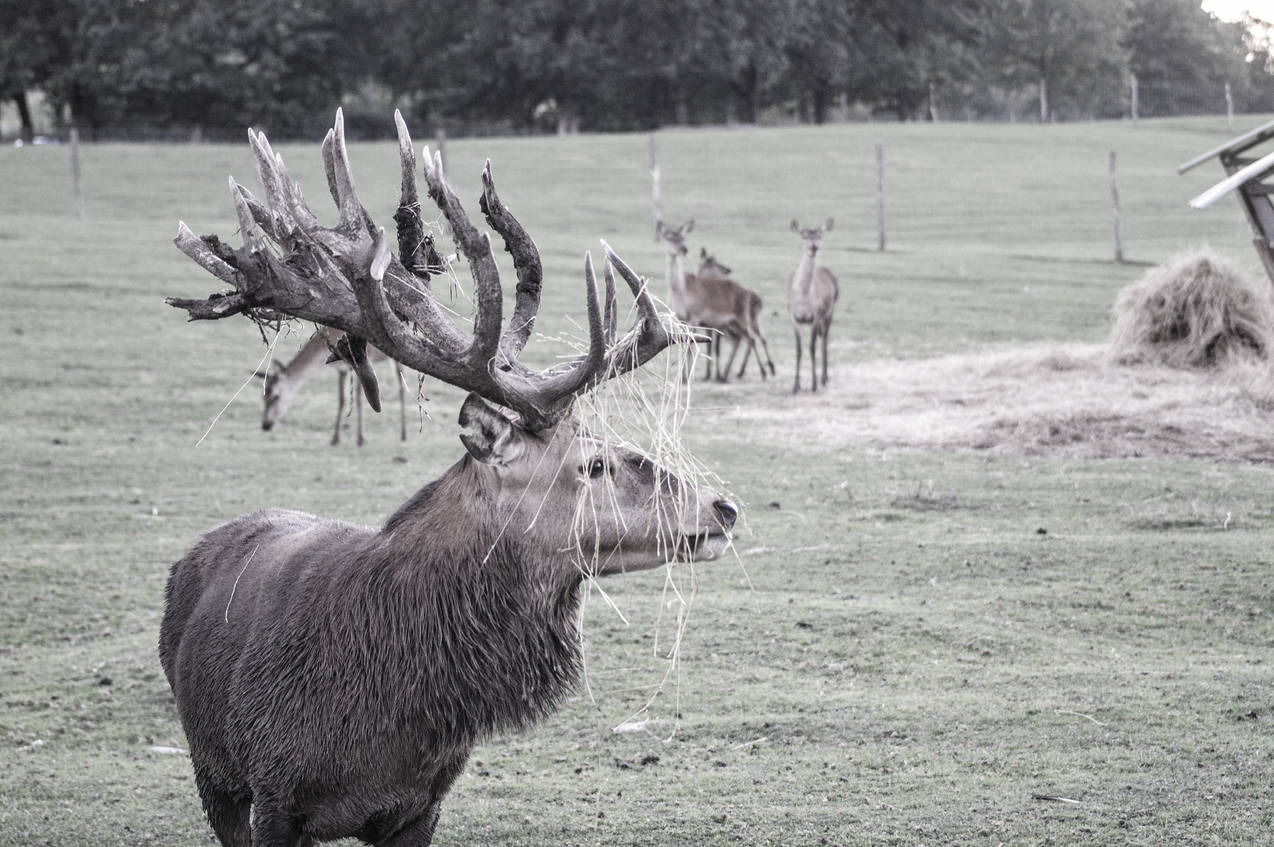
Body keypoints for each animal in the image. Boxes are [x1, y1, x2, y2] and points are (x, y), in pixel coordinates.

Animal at [258, 324, 409, 446]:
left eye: (276, 396)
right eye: (263, 397)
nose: (265, 425)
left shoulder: (366, 358)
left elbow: (359, 399)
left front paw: (360, 439)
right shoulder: (341, 370)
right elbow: (341, 399)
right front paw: (335, 438)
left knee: (401, 388)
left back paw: (403, 434)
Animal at [657, 220, 775, 382]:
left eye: (683, 237)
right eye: (669, 237)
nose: (683, 249)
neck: (680, 291)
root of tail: (746, 293)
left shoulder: (696, 317)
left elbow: (693, 345)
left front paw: (688, 377)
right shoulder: (680, 318)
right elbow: (684, 345)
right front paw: (684, 376)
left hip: (742, 318)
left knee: (751, 339)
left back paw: (761, 372)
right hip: (733, 323)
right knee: (742, 340)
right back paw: (728, 373)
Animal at [787, 218, 839, 393]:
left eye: (820, 235)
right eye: (804, 235)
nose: (814, 247)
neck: (803, 299)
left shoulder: (815, 316)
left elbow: (811, 347)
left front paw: (814, 384)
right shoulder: (794, 316)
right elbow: (798, 349)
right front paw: (795, 385)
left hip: (830, 312)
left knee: (824, 341)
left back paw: (824, 378)